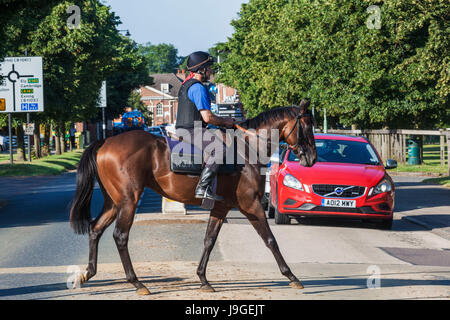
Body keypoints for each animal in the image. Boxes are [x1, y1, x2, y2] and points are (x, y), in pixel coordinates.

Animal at [69, 98, 316, 296]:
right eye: (307, 125)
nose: (312, 158)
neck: (247, 149)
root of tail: (106, 142)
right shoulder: (251, 205)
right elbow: (270, 239)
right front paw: (292, 276)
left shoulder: (221, 207)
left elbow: (209, 240)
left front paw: (203, 279)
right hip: (128, 201)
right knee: (120, 236)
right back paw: (137, 282)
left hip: (114, 202)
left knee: (95, 229)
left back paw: (88, 273)